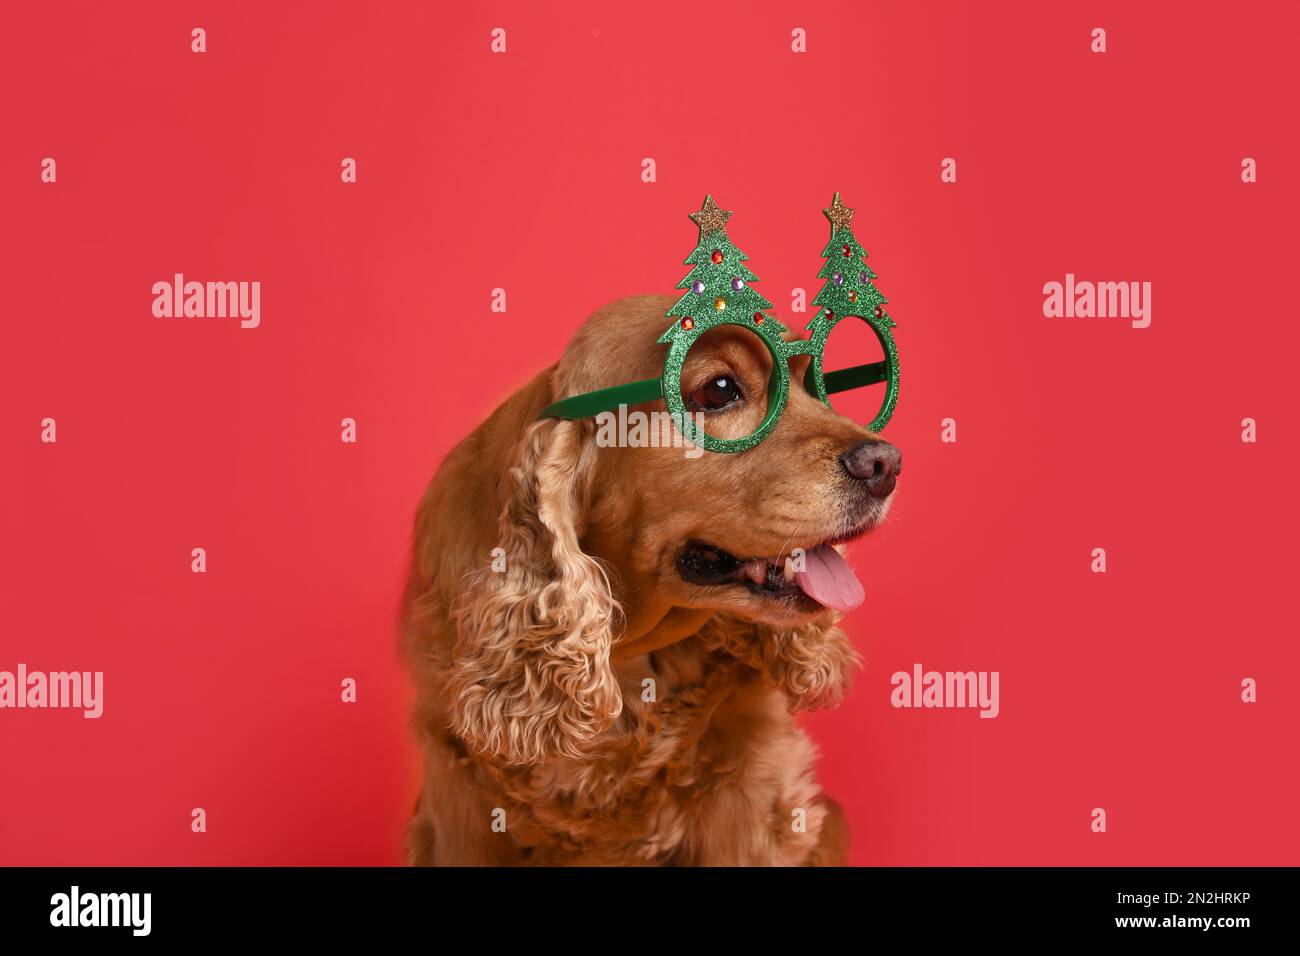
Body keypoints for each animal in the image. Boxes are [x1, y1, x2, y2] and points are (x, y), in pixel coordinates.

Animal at [400, 293, 899, 868]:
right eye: (719, 389)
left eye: (811, 384)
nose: (887, 463)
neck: (630, 655)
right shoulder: (460, 801)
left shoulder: (752, 796)